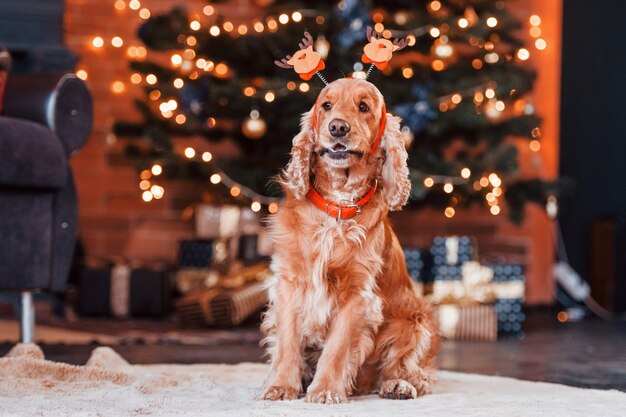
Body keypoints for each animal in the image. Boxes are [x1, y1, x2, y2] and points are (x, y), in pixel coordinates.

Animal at [260, 76, 436, 402]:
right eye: (326, 105)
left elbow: (338, 346)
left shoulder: (357, 293)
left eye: (363, 107)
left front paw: (326, 390)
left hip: (414, 323)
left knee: (411, 371)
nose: (338, 127)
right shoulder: (289, 283)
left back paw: (397, 386)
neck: (338, 205)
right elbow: (288, 341)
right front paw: (281, 386)